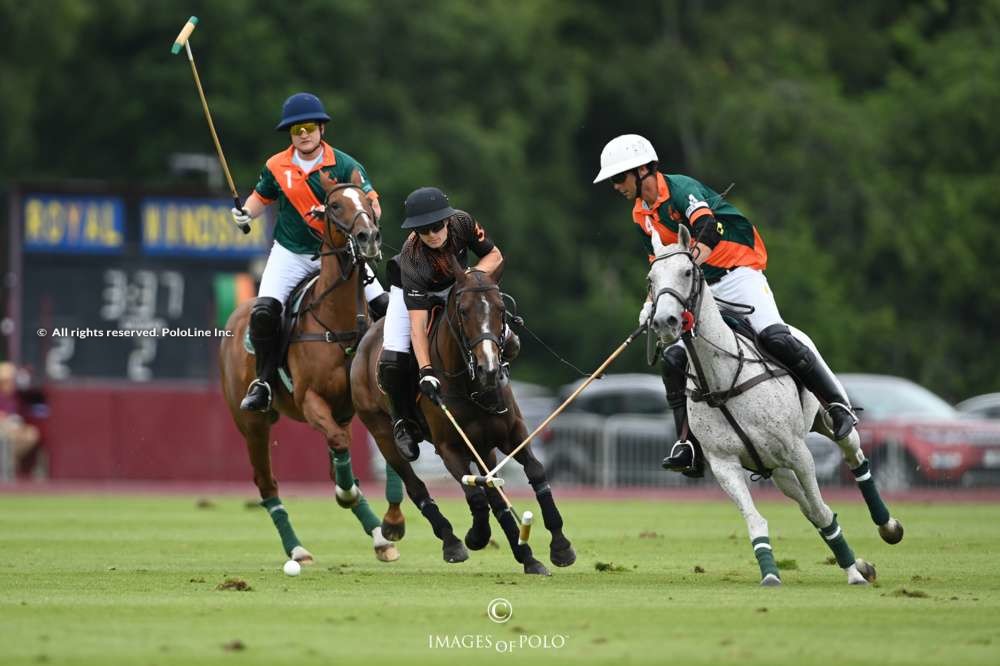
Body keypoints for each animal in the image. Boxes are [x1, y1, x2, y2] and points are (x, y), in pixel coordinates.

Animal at [221, 169, 404, 564]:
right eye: (334, 205)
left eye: (368, 202)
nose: (369, 238)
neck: (338, 322)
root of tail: (237, 315)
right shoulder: (310, 400)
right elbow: (340, 449)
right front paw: (349, 496)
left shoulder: (365, 402)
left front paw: (387, 521)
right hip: (251, 423)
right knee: (267, 484)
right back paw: (298, 549)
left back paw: (378, 536)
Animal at [352, 256, 576, 572]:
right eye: (463, 311)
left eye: (501, 309)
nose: (490, 369)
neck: (471, 385)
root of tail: (366, 336)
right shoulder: (449, 448)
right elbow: (475, 496)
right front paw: (475, 537)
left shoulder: (514, 434)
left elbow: (535, 472)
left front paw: (560, 546)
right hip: (382, 435)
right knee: (418, 486)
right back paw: (452, 540)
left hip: (484, 448)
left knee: (494, 490)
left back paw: (527, 556)